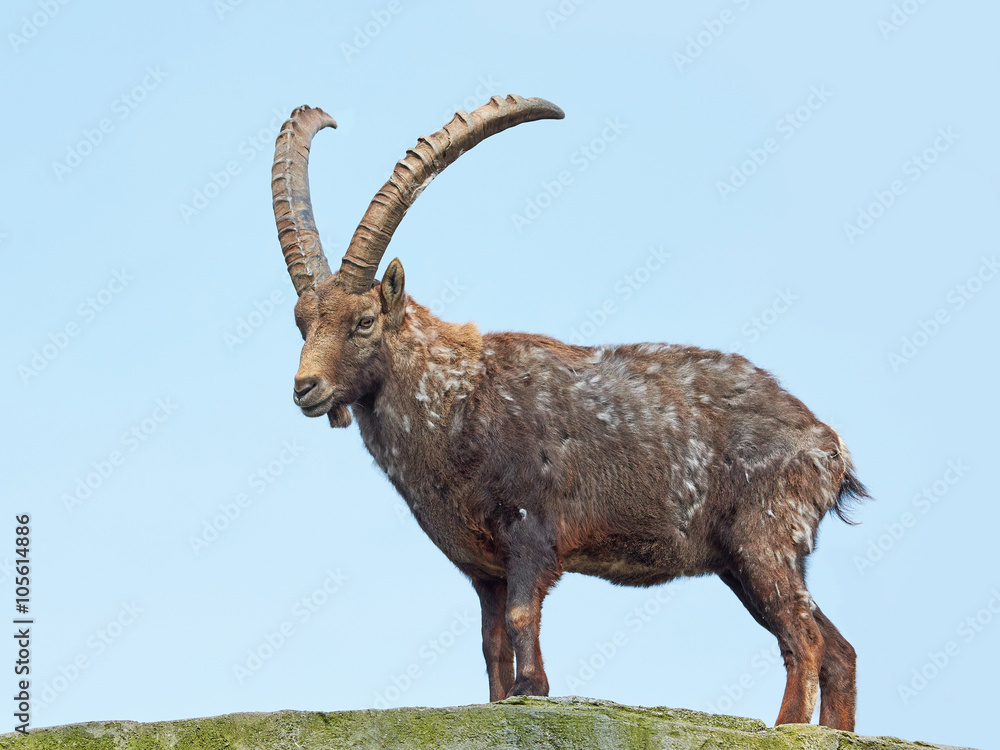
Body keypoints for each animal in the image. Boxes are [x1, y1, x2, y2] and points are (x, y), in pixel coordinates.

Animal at [271, 95, 868, 731]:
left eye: (363, 321)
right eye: (301, 321)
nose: (306, 388)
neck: (453, 398)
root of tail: (829, 447)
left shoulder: (531, 531)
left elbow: (521, 619)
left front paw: (533, 688)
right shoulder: (484, 569)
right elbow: (490, 644)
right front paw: (500, 700)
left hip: (766, 537)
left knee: (803, 639)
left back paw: (786, 727)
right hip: (743, 560)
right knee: (838, 649)